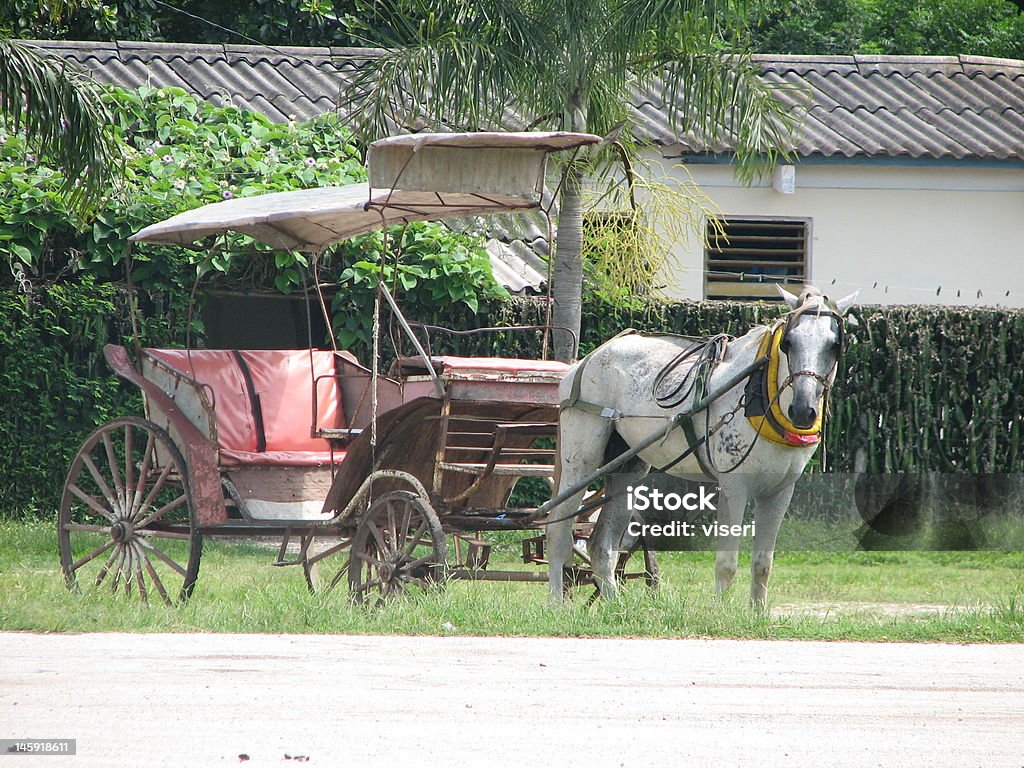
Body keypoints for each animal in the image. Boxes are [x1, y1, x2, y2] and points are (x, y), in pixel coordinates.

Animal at [548, 286, 860, 606]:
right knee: (558, 530)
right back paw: (558, 605)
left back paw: (616, 608)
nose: (802, 411)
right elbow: (727, 564)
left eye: (835, 345)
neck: (760, 394)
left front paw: (757, 613)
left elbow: (763, 564)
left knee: (602, 546)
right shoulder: (734, 488)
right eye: (788, 342)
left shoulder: (780, 491)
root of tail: (586, 360)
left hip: (628, 465)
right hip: (581, 459)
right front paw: (720, 612)